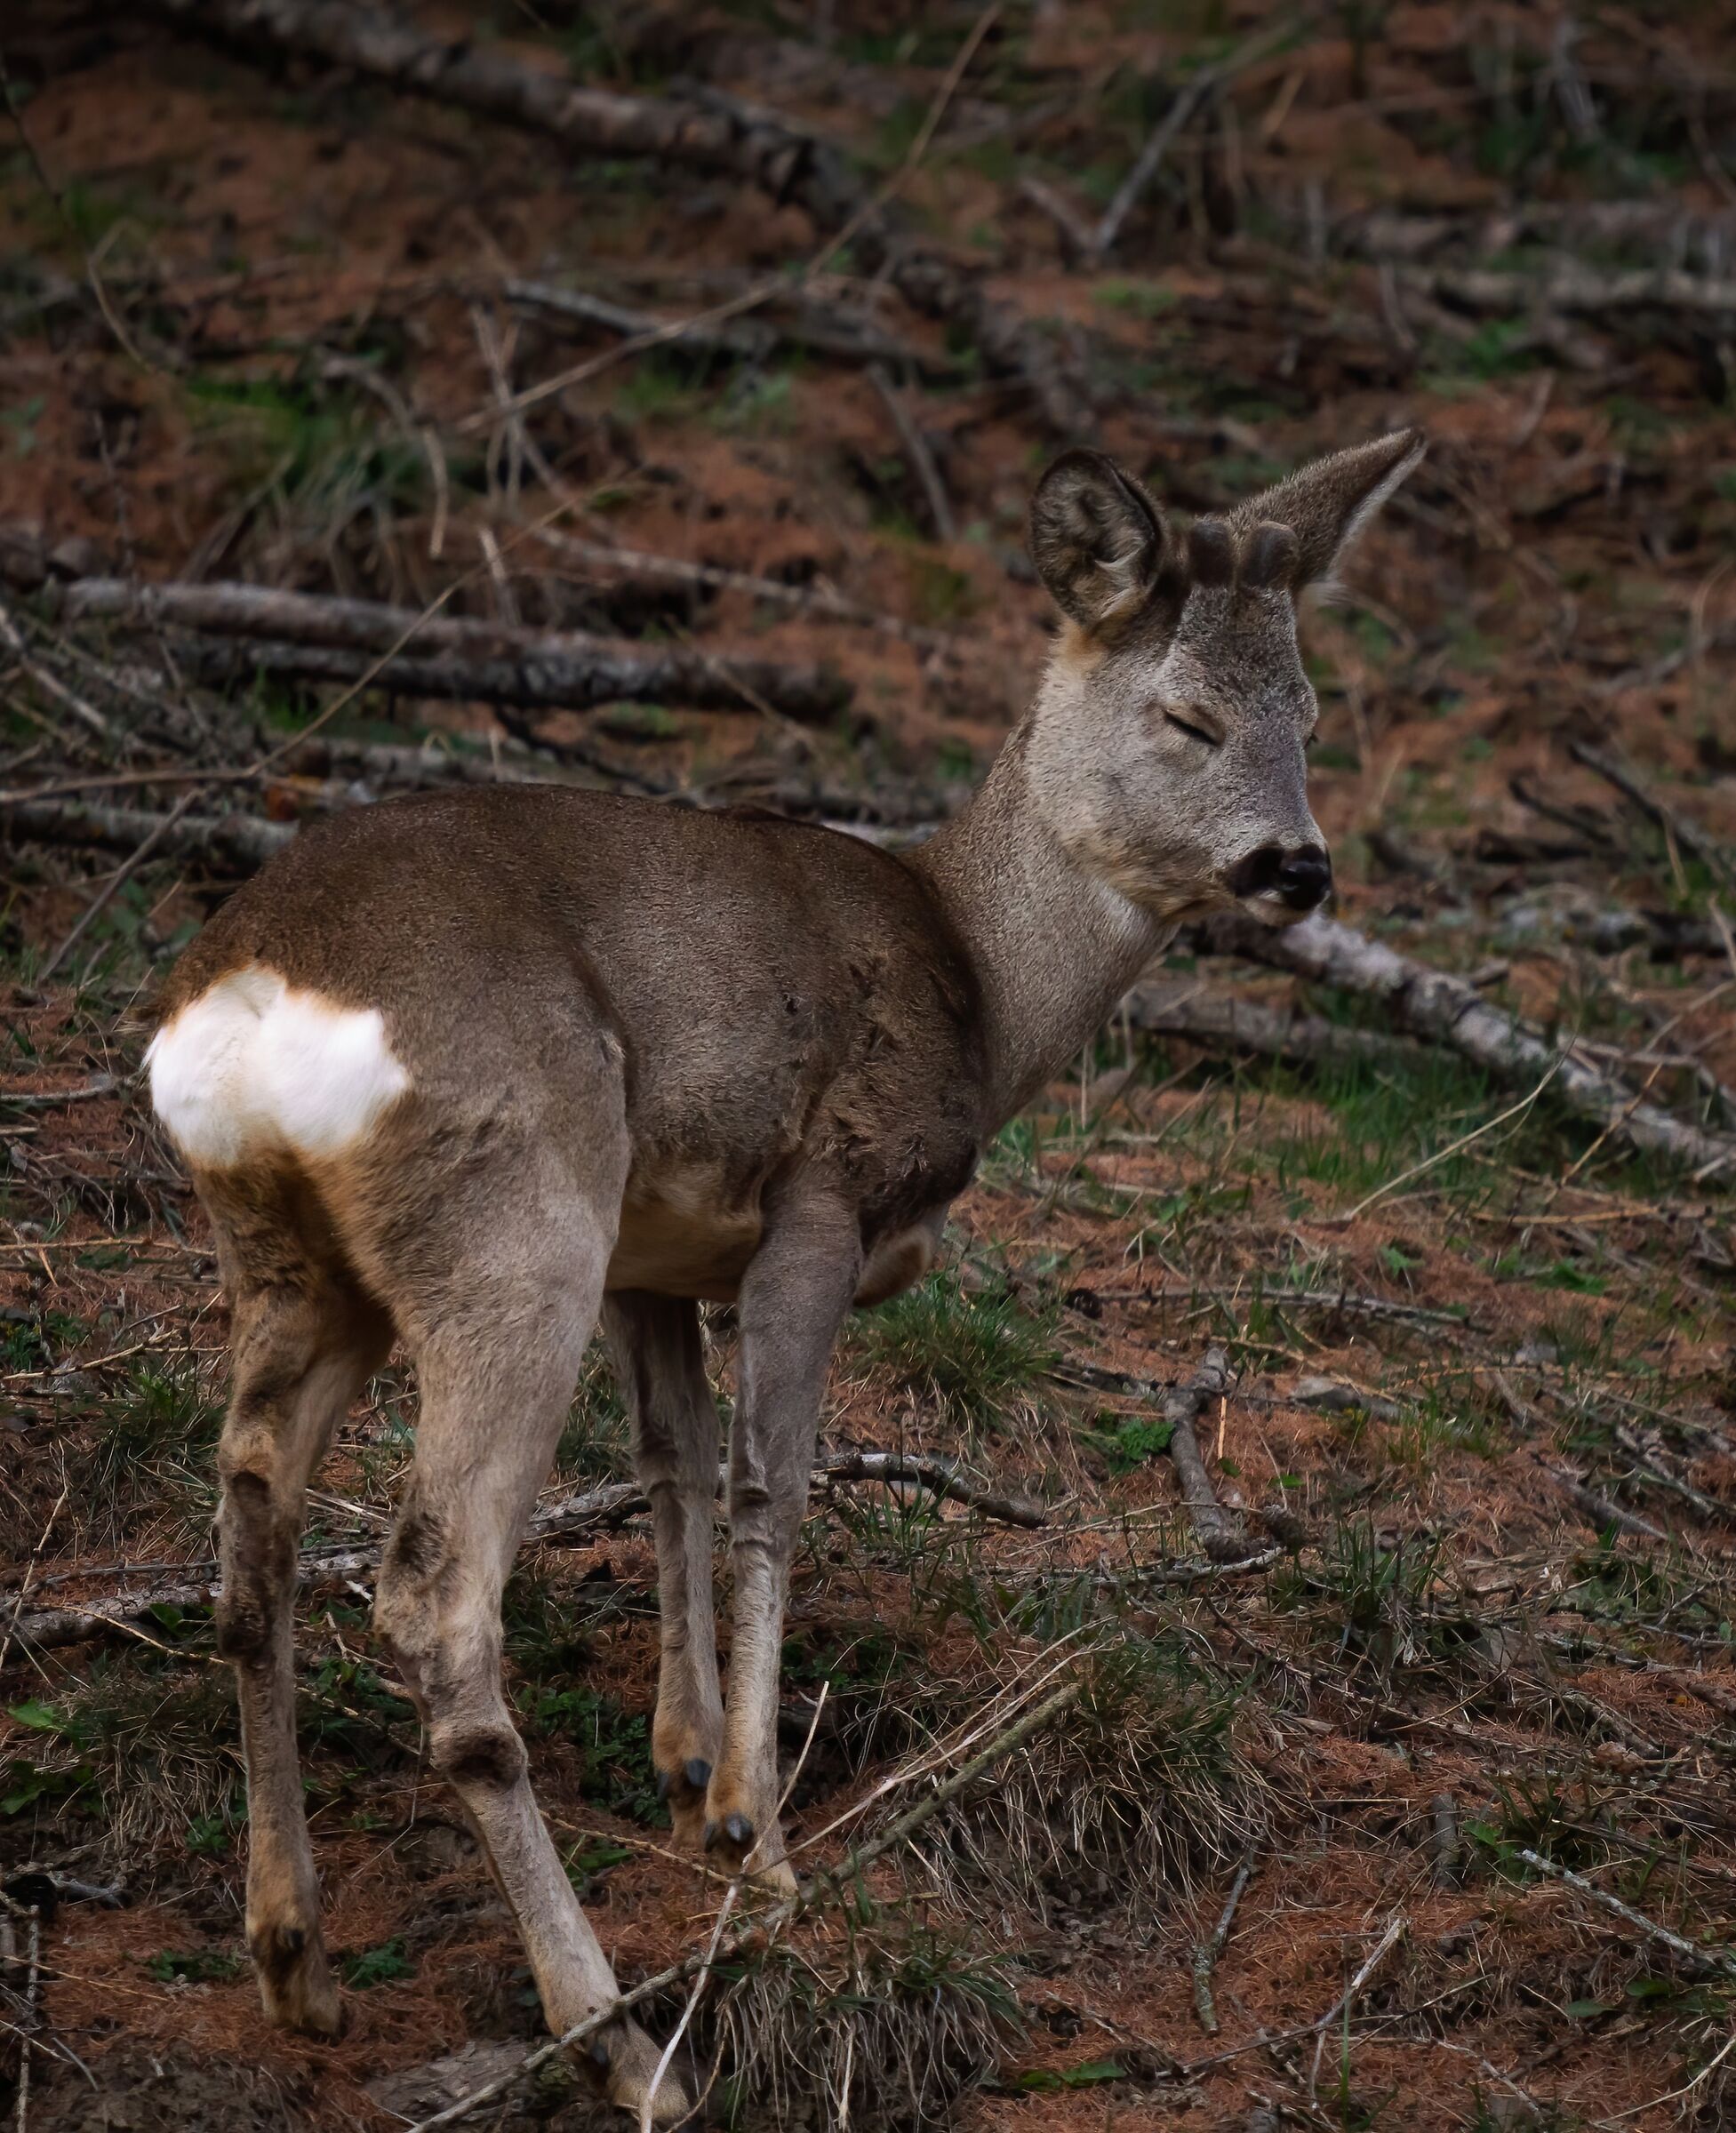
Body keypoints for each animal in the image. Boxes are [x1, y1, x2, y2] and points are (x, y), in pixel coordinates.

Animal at [145, 426, 1423, 2122]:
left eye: (1311, 714)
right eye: (1186, 714)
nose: (1297, 867)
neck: (984, 986)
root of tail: (246, 1003)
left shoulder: (658, 1252)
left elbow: (674, 1466)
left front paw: (691, 1773)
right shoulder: (821, 1191)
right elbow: (771, 1487)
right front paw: (760, 1849)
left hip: (303, 1265)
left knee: (252, 1533)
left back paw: (295, 1962)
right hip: (515, 1223)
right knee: (431, 1591)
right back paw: (617, 2038)